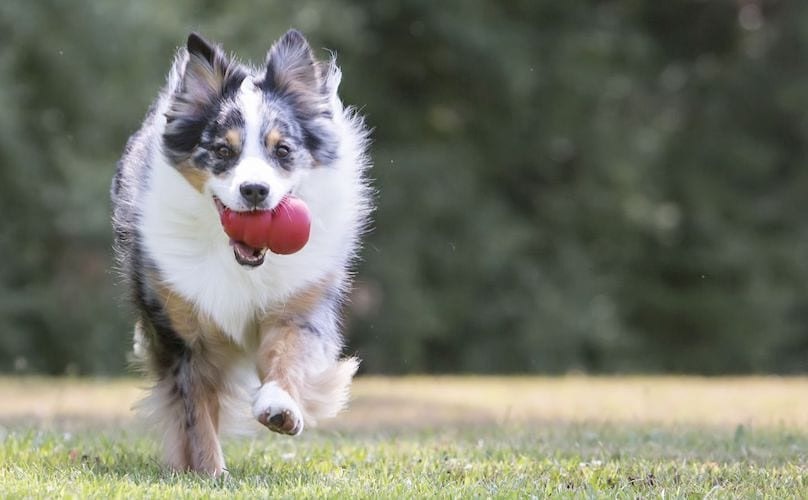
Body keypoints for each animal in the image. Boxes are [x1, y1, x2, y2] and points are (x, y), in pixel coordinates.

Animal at [110, 29, 372, 474]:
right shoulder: (185, 335)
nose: (254, 191)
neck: (239, 261)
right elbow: (196, 412)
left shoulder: (299, 305)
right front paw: (210, 473)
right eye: (222, 151)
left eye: (282, 150)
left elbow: (287, 355)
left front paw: (280, 408)